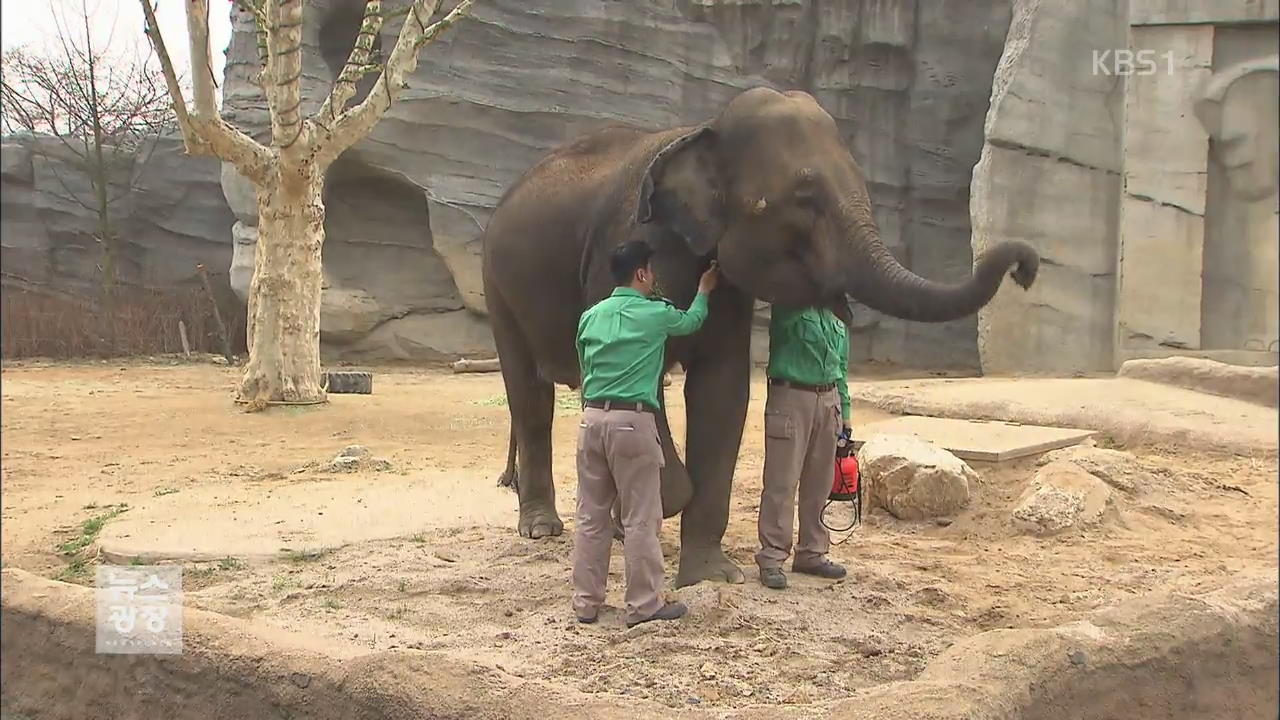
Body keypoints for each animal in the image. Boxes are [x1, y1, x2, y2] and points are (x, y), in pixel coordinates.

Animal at [481, 87, 1039, 586]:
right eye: (805, 198)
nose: (1026, 267)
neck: (703, 128)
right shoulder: (619, 254)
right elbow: (639, 380)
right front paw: (665, 507)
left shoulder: (727, 288)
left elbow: (723, 391)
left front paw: (713, 576)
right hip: (498, 286)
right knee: (530, 398)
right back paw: (542, 529)